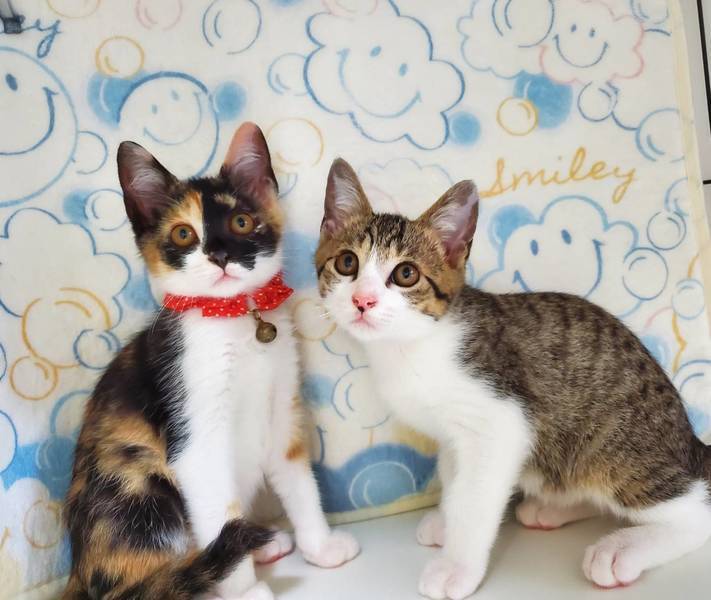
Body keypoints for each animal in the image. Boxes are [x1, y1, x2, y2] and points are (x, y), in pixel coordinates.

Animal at [63, 123, 358, 600]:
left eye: (241, 222)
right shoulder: (193, 439)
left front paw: (321, 546)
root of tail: (78, 573)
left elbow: (298, 479)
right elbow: (218, 506)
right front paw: (243, 590)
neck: (235, 319)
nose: (219, 254)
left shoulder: (283, 408)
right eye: (183, 234)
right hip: (138, 483)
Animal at [315, 158, 711, 599]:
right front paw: (446, 520)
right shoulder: (453, 435)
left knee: (695, 509)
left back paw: (621, 550)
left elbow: (474, 498)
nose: (362, 300)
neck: (410, 346)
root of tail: (687, 441)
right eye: (347, 263)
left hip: (613, 449)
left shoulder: (501, 422)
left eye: (405, 274)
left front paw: (456, 566)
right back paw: (553, 507)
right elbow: (455, 478)